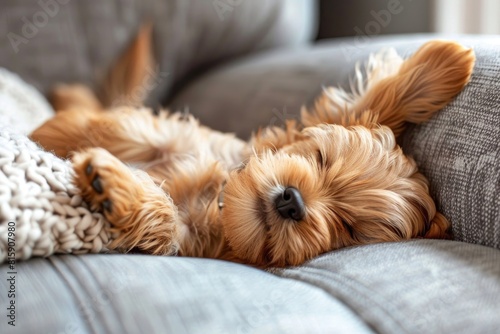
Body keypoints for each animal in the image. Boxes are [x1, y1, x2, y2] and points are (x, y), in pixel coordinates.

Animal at [29, 28, 474, 268]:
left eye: (350, 229)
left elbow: (166, 222)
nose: (292, 200)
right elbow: (127, 129)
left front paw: (114, 185)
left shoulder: (188, 243)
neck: (217, 203)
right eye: (320, 157)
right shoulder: (175, 139)